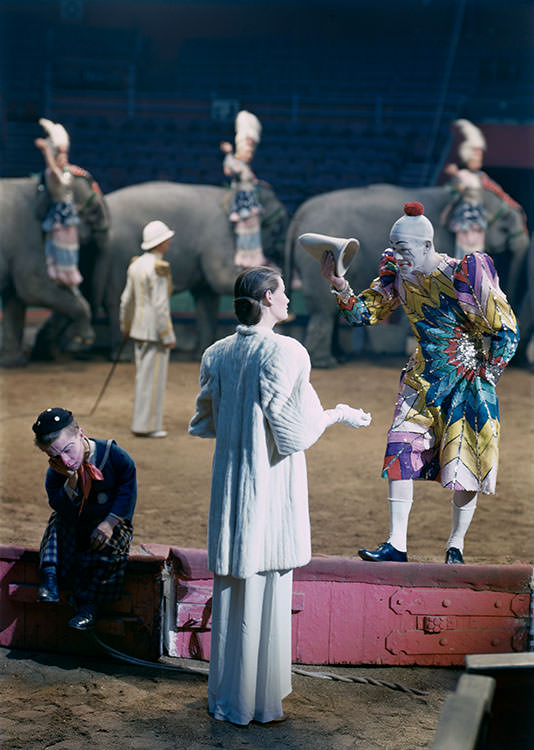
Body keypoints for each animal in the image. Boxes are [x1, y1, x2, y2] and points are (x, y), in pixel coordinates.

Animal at [0, 174, 111, 368]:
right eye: (93, 212)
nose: (79, 347)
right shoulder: (28, 235)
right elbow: (33, 288)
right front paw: (83, 338)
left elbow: (15, 296)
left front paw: (14, 363)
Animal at [104, 181, 288, 358]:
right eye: (277, 227)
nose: (278, 253)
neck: (229, 193)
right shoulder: (217, 233)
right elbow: (220, 279)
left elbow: (207, 296)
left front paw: (202, 353)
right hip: (120, 250)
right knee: (117, 296)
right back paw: (124, 356)